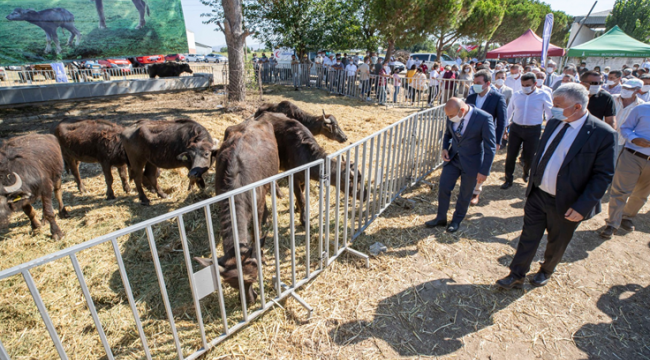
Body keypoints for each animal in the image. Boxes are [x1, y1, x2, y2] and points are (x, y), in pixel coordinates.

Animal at [195, 119, 280, 306]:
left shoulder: (258, 205)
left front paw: (262, 256)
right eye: (232, 285)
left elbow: (257, 233)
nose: (251, 300)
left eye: (254, 278)